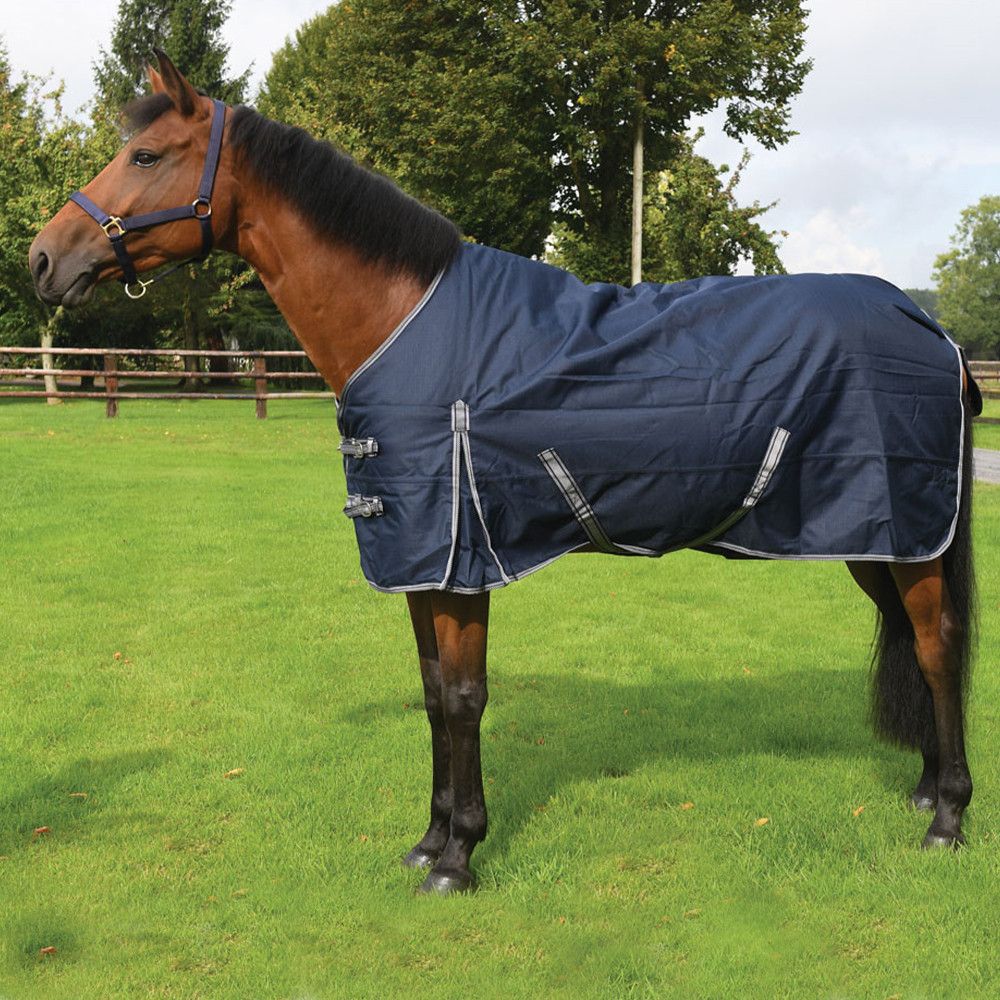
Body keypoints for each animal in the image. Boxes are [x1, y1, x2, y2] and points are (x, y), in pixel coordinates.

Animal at [29, 52, 979, 895]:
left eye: (146, 156)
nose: (42, 258)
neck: (401, 321)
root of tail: (926, 322)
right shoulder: (417, 561)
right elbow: (429, 695)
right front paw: (427, 840)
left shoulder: (460, 563)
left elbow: (461, 697)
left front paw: (458, 858)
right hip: (877, 538)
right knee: (913, 640)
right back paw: (924, 789)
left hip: (906, 533)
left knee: (937, 647)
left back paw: (949, 819)